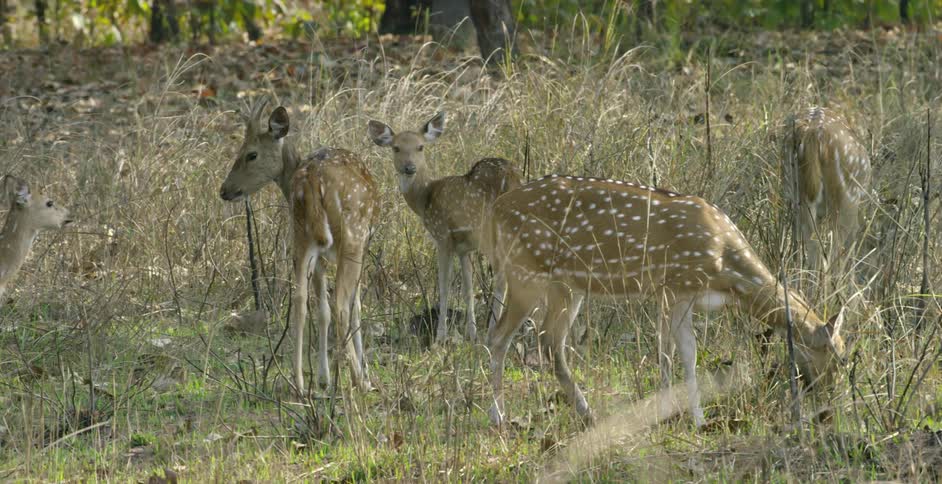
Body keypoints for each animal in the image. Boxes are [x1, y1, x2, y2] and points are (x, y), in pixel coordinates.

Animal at [219, 98, 378, 393]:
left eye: (250, 154)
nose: (224, 190)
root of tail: (313, 179)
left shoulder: (321, 255)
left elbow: (322, 310)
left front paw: (324, 378)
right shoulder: (363, 244)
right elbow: (357, 307)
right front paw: (364, 374)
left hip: (302, 237)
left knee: (300, 299)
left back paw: (300, 382)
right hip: (352, 235)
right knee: (341, 304)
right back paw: (357, 381)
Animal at [368, 112, 522, 344]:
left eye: (420, 147)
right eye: (396, 147)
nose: (409, 168)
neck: (425, 198)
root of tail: (512, 177)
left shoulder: (442, 236)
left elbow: (444, 286)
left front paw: (441, 338)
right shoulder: (464, 248)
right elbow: (468, 289)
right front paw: (471, 334)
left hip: (492, 231)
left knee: (503, 279)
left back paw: (494, 331)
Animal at [482, 174, 846, 427]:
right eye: (836, 356)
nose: (829, 405)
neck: (725, 269)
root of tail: (496, 209)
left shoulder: (680, 296)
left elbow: (685, 352)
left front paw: (693, 418)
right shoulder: (672, 286)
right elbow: (669, 353)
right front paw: (671, 414)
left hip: (566, 286)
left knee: (546, 342)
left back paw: (583, 414)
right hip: (526, 274)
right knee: (500, 336)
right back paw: (502, 416)